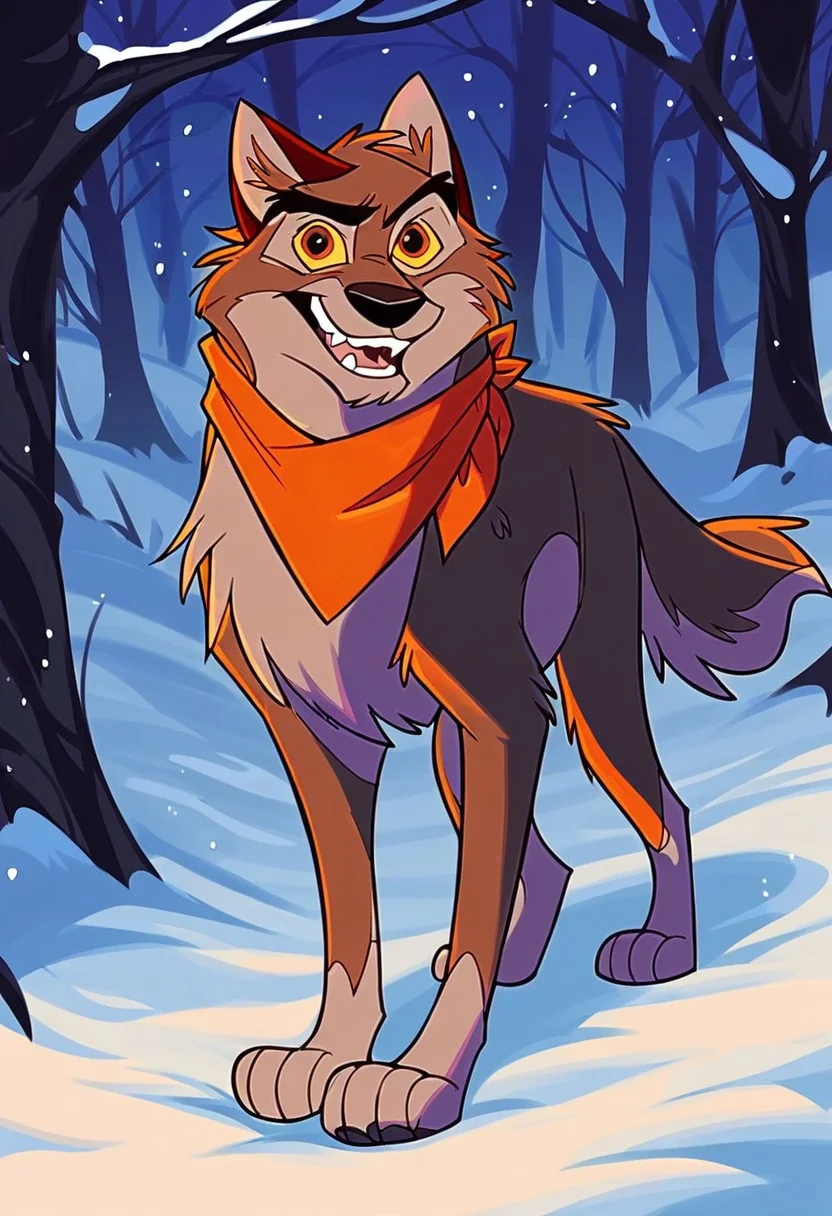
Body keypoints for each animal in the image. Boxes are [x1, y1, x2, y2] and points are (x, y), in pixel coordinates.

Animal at [165, 74, 829, 1145]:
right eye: (316, 242)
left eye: (415, 241)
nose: (387, 302)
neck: (343, 471)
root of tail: (598, 425)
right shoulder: (321, 734)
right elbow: (351, 926)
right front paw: (322, 1056)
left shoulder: (501, 712)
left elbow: (472, 909)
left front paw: (419, 1083)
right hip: (460, 733)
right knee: (546, 863)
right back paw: (531, 956)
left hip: (575, 688)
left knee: (663, 809)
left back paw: (663, 948)